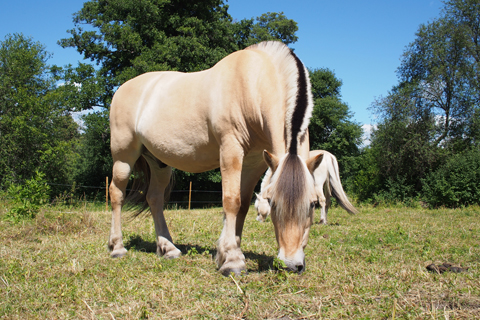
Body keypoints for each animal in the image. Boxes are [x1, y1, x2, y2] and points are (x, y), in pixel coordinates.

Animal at [106, 40, 320, 276]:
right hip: (124, 157)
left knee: (154, 198)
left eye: (313, 204)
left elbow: (242, 205)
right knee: (116, 194)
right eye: (272, 202)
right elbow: (231, 201)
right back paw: (117, 247)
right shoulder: (230, 149)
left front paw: (226, 252)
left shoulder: (254, 162)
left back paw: (168, 248)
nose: (291, 264)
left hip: (159, 163)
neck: (253, 82)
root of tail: (122, 88)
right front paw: (233, 260)